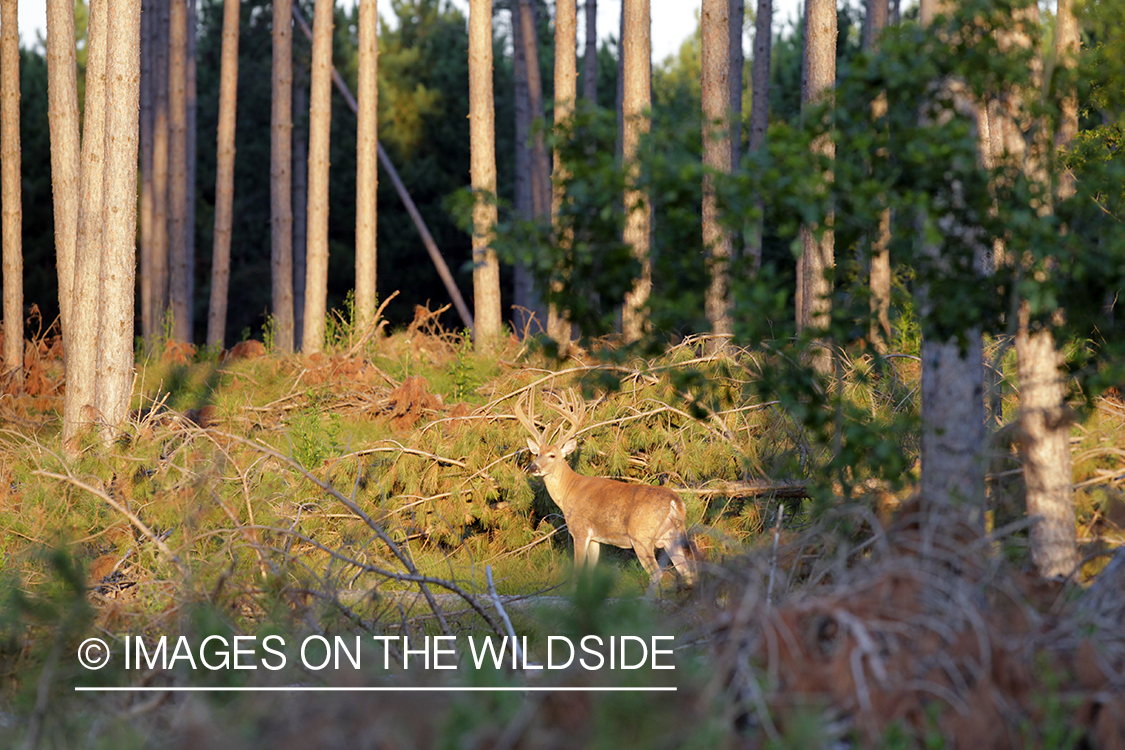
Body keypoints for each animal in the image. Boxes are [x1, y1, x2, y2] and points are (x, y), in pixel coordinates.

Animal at [515, 391, 693, 589]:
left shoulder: (580, 530)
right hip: (672, 536)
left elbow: (577, 571)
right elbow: (591, 571)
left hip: (642, 537)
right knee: (687, 571)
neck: (569, 490)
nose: (533, 467)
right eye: (537, 453)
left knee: (659, 572)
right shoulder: (596, 539)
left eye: (552, 455)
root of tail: (675, 502)